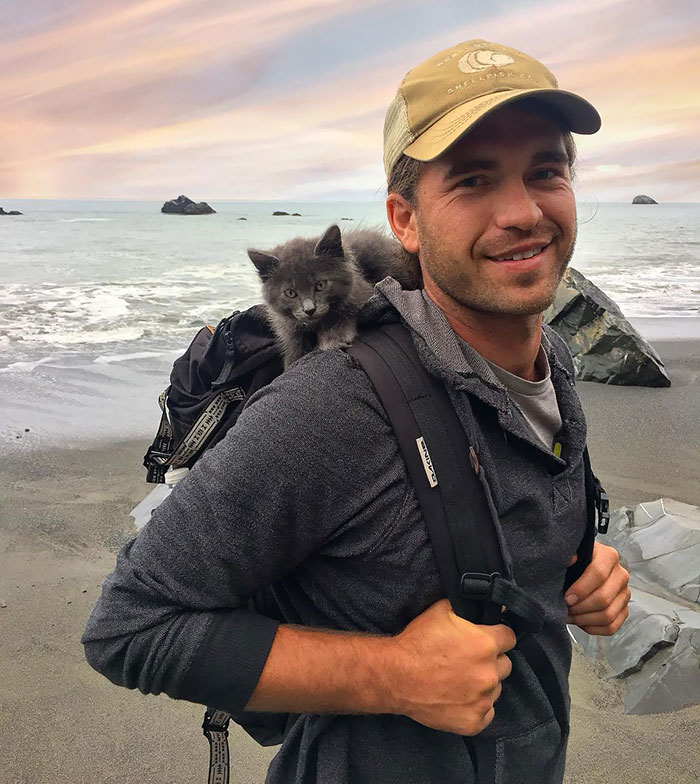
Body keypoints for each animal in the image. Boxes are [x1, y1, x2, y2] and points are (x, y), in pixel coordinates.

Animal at [247, 220, 418, 368]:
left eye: (320, 285)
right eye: (290, 293)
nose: (309, 310)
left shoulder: (363, 292)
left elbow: (344, 315)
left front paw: (333, 339)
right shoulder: (289, 331)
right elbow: (293, 352)